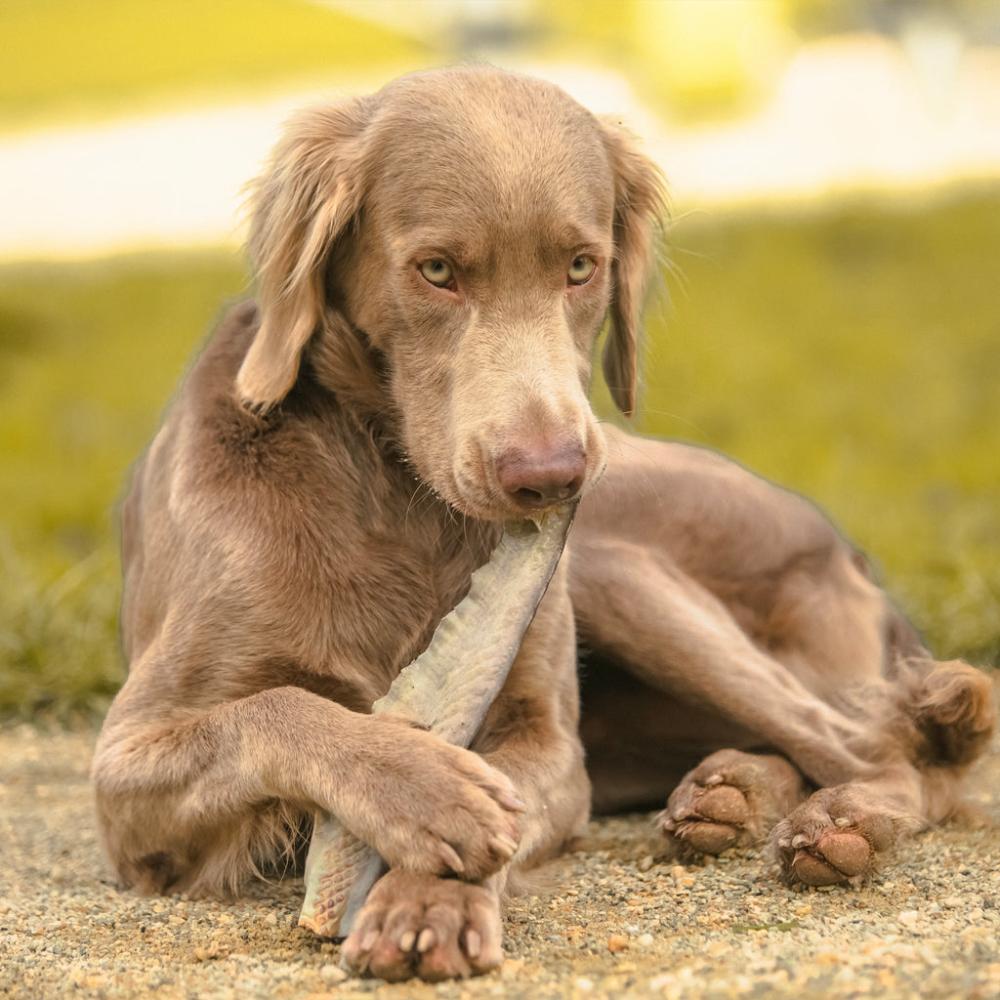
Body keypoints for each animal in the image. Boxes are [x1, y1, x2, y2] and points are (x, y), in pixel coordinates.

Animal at [92, 66, 992, 980]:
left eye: (582, 267)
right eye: (438, 270)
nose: (551, 476)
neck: (395, 496)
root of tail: (856, 554)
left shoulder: (551, 743)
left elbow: (513, 795)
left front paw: (428, 897)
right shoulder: (123, 769)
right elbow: (277, 710)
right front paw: (431, 791)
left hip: (613, 569)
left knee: (884, 751)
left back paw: (840, 823)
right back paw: (731, 796)